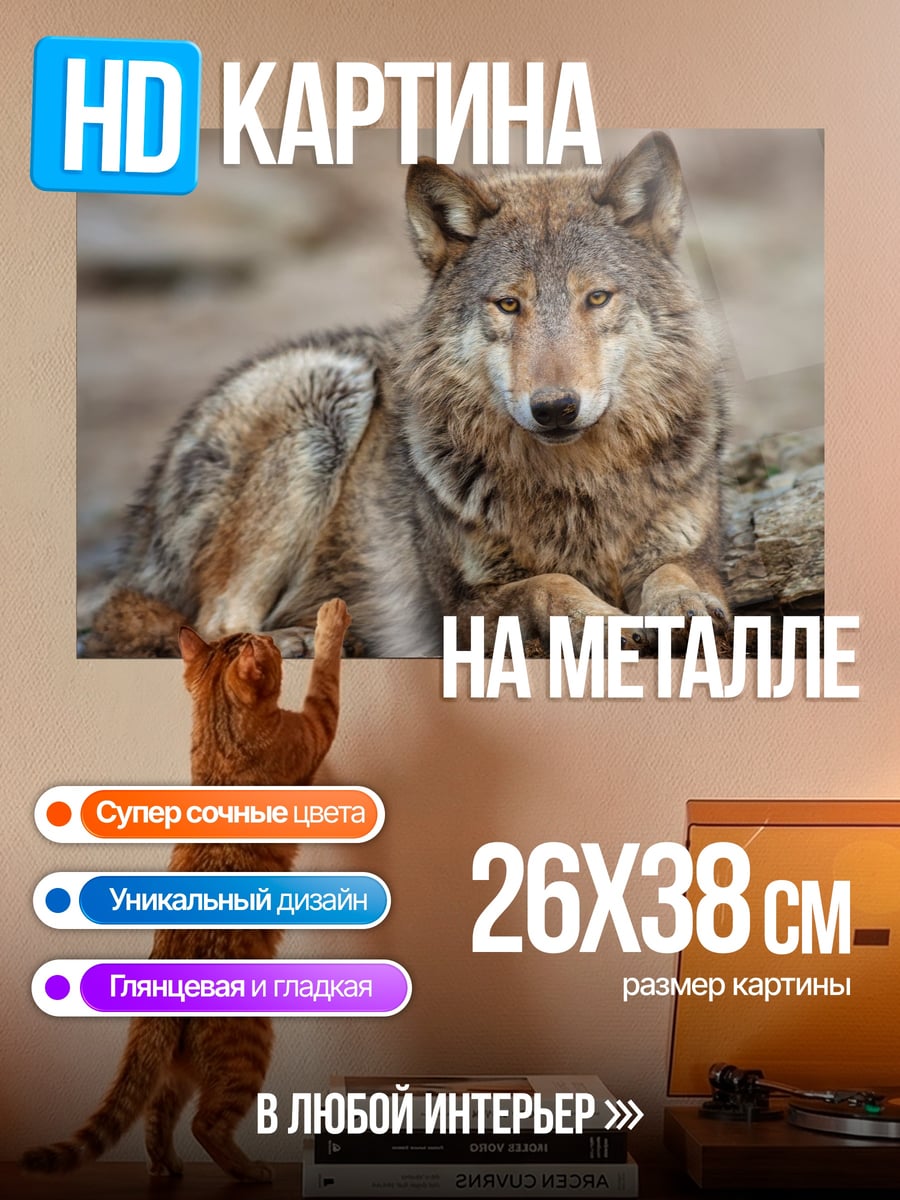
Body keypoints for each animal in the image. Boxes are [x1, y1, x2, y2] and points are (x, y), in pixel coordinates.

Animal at [84, 132, 730, 659]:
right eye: (508, 304)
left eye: (596, 298)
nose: (554, 408)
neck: (577, 484)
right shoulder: (456, 607)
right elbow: (548, 584)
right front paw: (603, 620)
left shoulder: (691, 552)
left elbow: (675, 576)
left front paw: (684, 609)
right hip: (327, 396)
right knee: (210, 621)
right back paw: (292, 642)